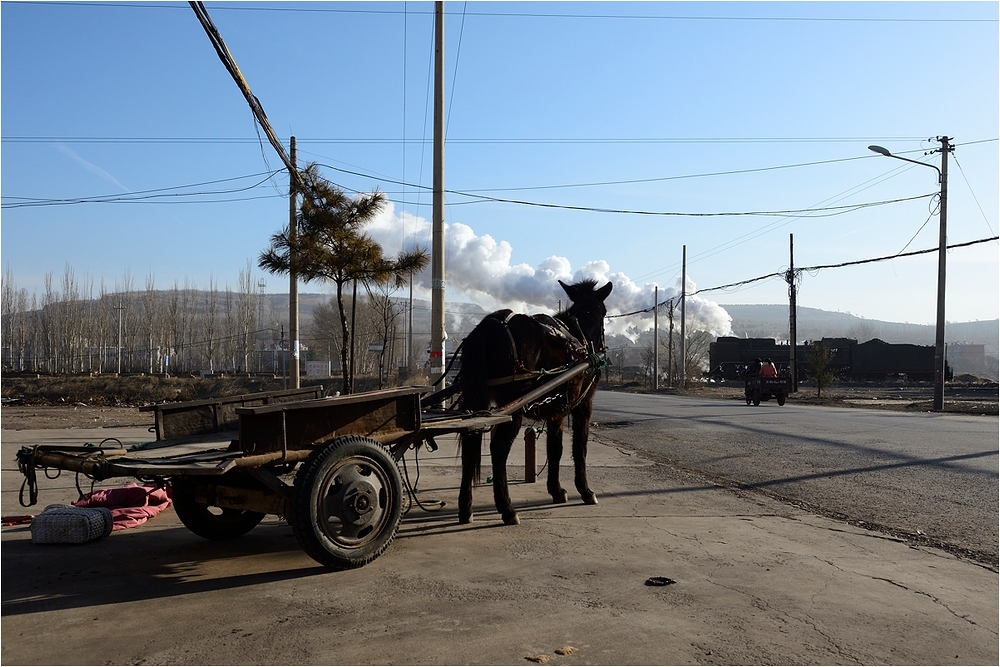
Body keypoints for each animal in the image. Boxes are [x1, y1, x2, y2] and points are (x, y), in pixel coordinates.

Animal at [458, 280, 612, 524]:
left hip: (478, 399)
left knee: (469, 444)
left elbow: (555, 448)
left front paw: (556, 490)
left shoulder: (557, 410)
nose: (601, 347)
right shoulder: (583, 404)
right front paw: (586, 491)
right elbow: (580, 447)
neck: (580, 335)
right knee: (498, 449)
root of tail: (488, 328)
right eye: (604, 312)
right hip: (513, 405)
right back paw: (507, 509)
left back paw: (466, 508)